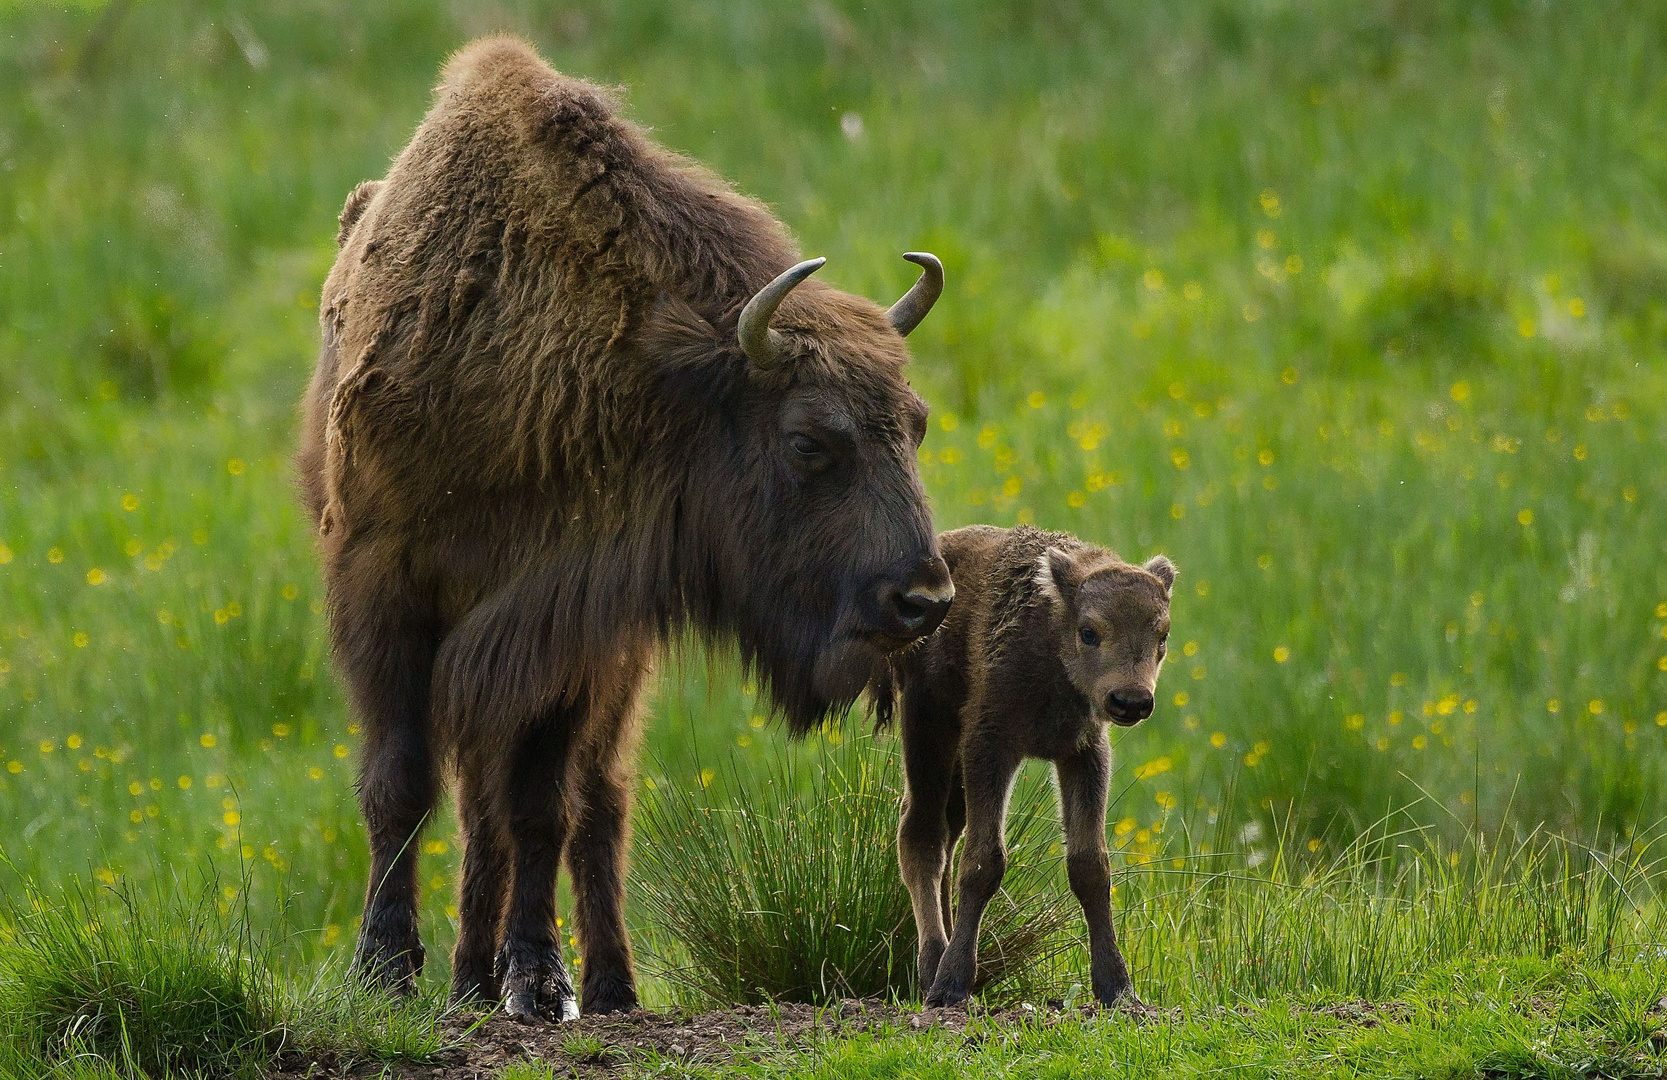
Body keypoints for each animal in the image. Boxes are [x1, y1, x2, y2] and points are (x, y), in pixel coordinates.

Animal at [295, 37, 960, 1020]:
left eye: (914, 423)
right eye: (809, 440)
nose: (923, 600)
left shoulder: (570, 629)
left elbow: (542, 807)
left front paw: (539, 980)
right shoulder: (385, 592)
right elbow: (399, 784)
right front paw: (382, 968)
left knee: (593, 805)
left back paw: (601, 985)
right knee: (481, 800)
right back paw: (467, 981)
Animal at [873, 523, 1173, 1006]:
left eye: (1161, 637)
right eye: (1089, 632)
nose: (1131, 701)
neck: (1052, 637)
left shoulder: (1083, 754)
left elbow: (1090, 865)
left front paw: (1118, 988)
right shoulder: (990, 747)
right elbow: (984, 863)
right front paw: (952, 984)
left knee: (946, 834)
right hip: (927, 728)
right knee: (921, 833)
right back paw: (931, 966)